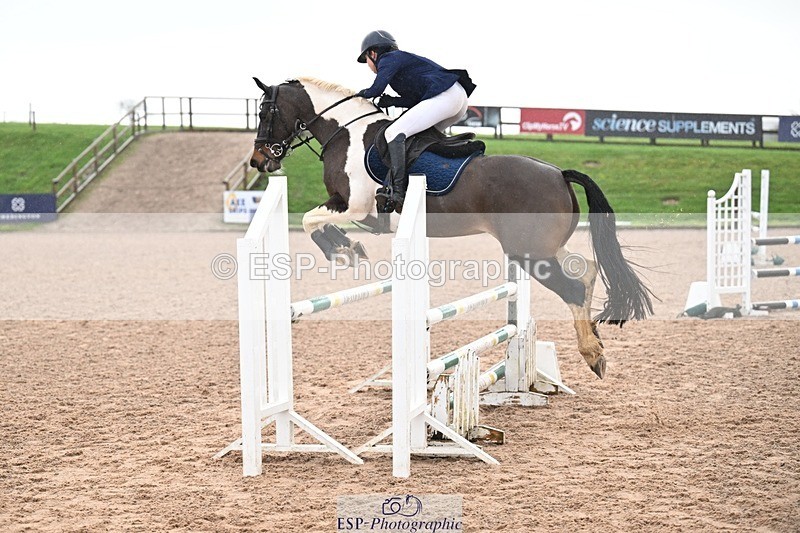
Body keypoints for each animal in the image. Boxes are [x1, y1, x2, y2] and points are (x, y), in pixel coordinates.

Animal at [249, 76, 654, 379]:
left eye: (266, 111)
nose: (258, 161)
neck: (346, 133)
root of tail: (558, 173)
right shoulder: (353, 209)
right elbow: (315, 221)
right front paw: (348, 248)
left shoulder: (358, 207)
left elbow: (310, 219)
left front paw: (343, 251)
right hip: (546, 247)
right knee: (587, 272)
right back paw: (595, 342)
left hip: (529, 253)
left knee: (572, 287)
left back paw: (592, 354)